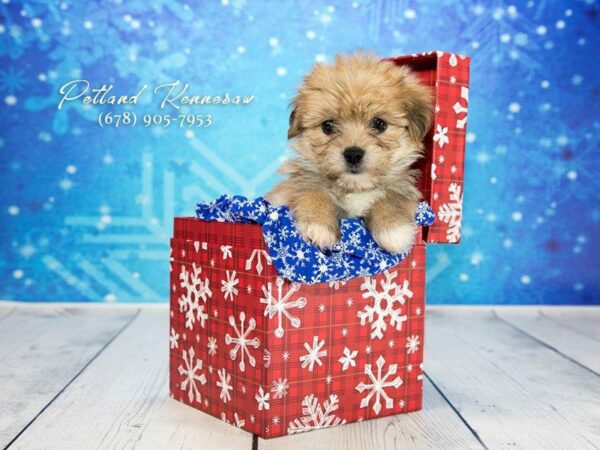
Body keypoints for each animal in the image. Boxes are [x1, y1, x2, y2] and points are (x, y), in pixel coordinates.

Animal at [266, 52, 432, 253]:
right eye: (327, 126)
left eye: (380, 124)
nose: (353, 154)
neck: (355, 188)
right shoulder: (294, 187)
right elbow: (311, 191)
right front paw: (318, 225)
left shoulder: (400, 187)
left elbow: (391, 198)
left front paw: (394, 230)